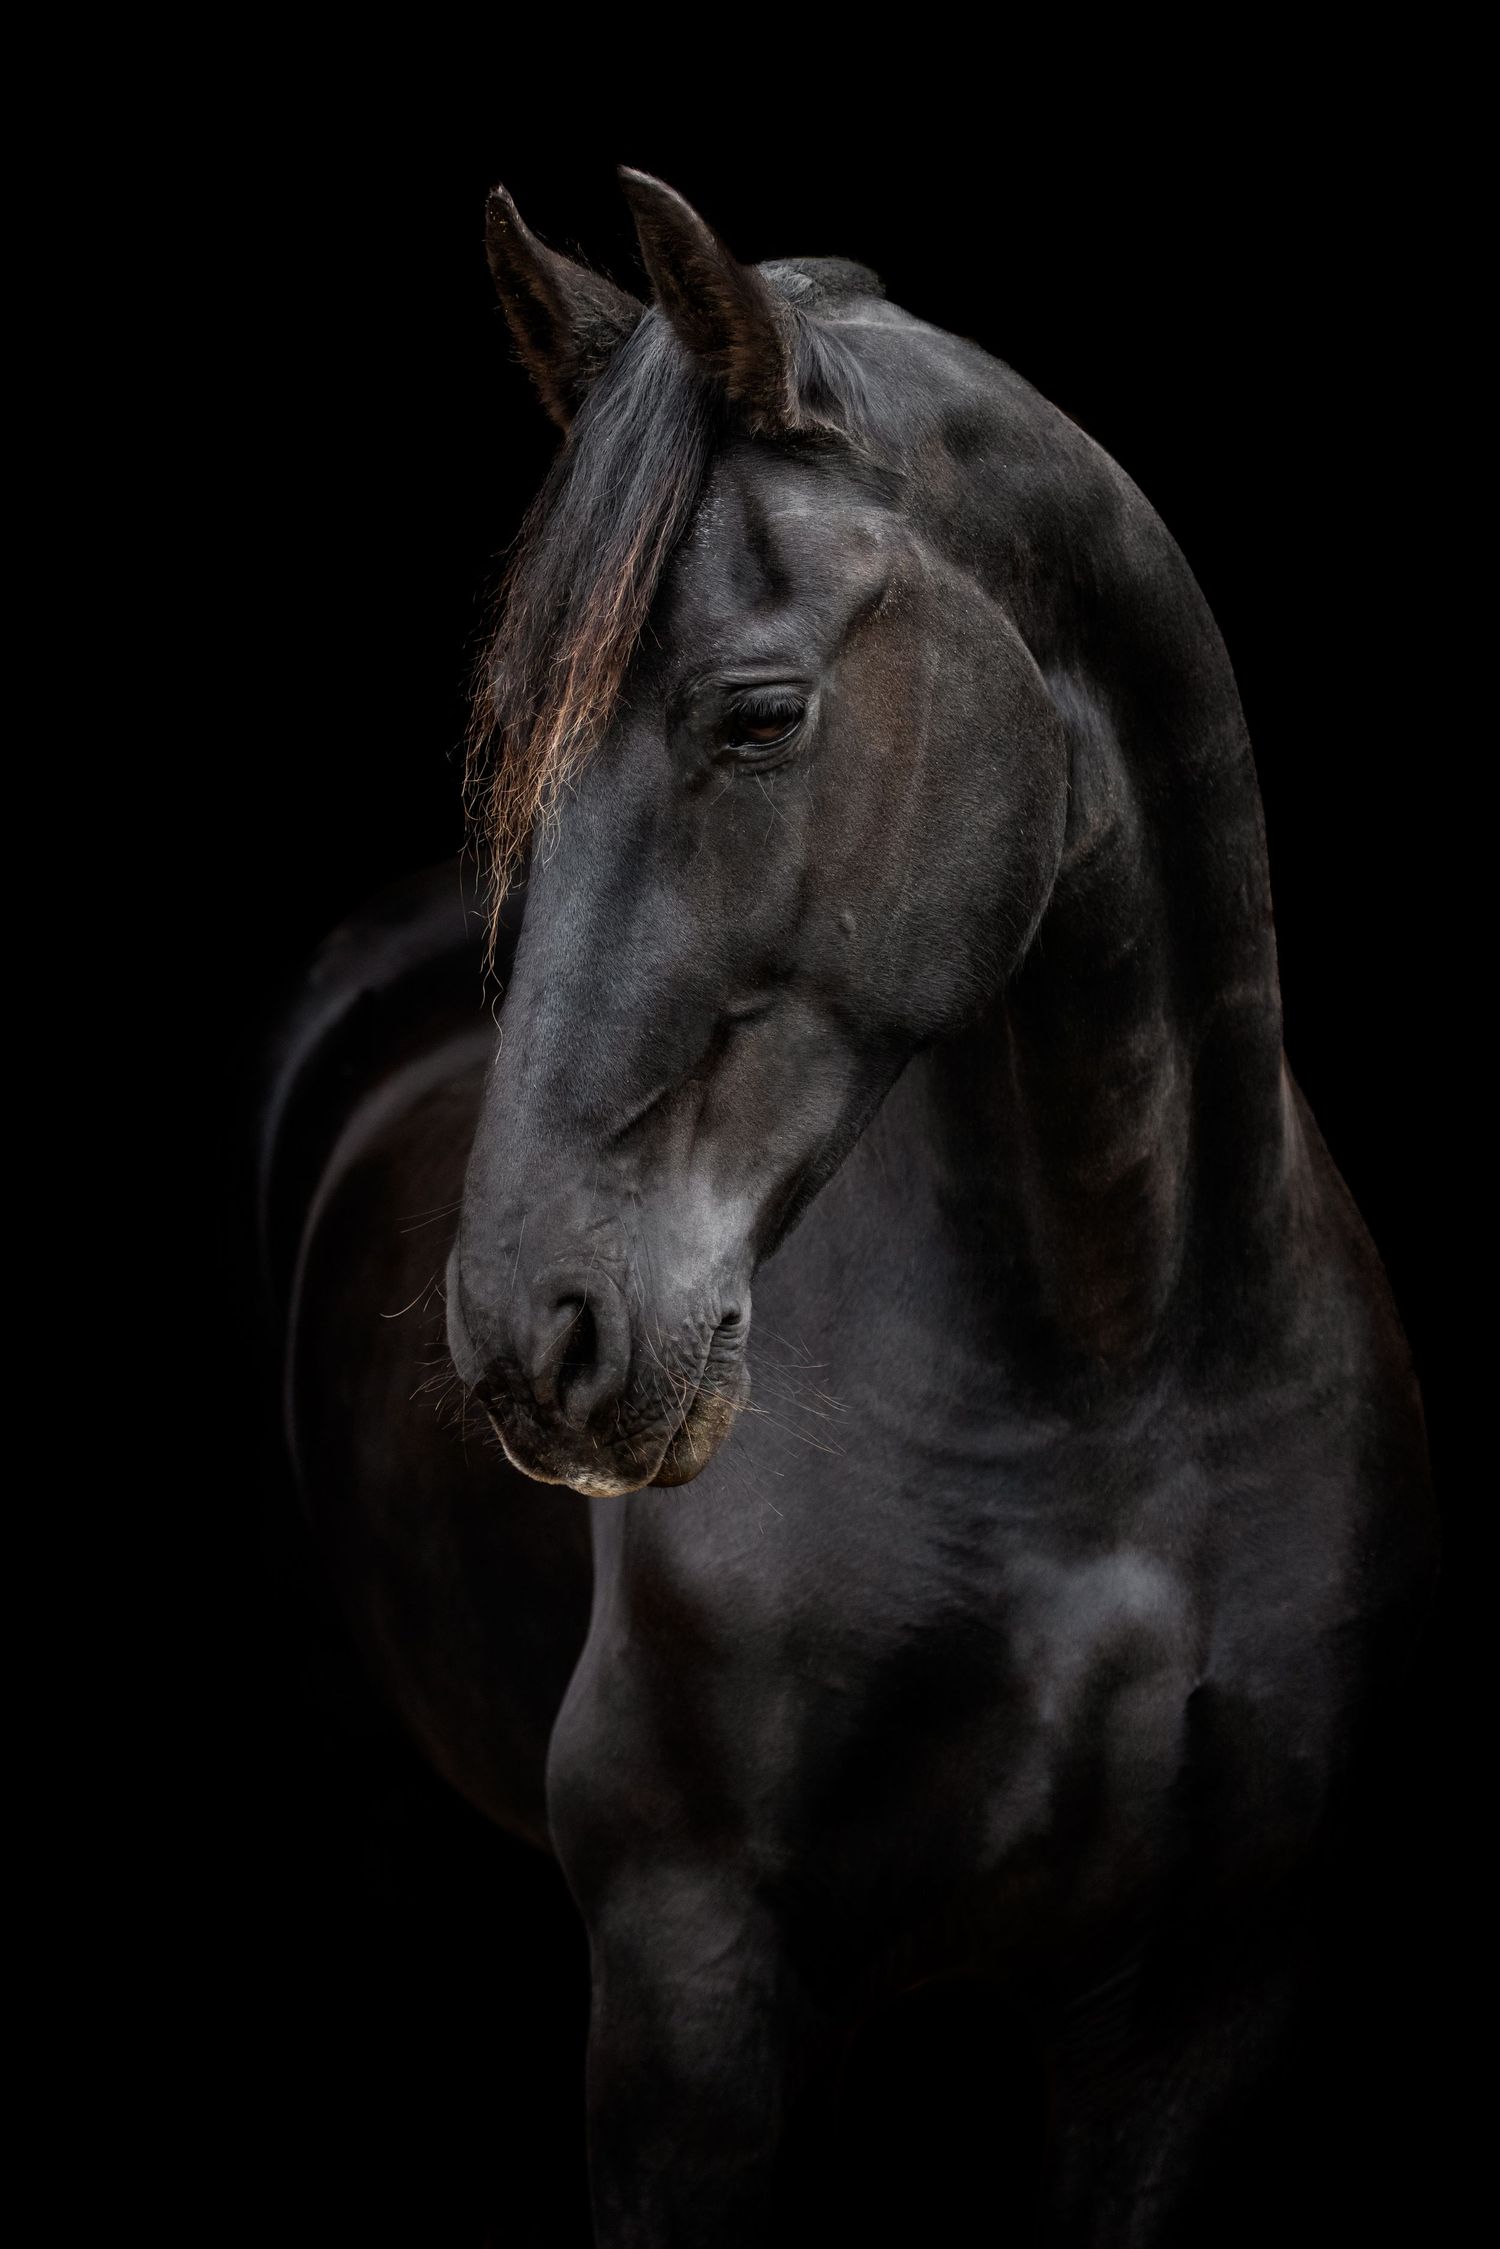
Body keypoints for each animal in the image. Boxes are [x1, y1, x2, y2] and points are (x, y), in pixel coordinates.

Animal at [270, 170, 1437, 2244]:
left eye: (758, 715)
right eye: (516, 740)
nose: (534, 1330)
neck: (1114, 1383)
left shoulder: (1202, 2004)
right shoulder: (697, 1993)